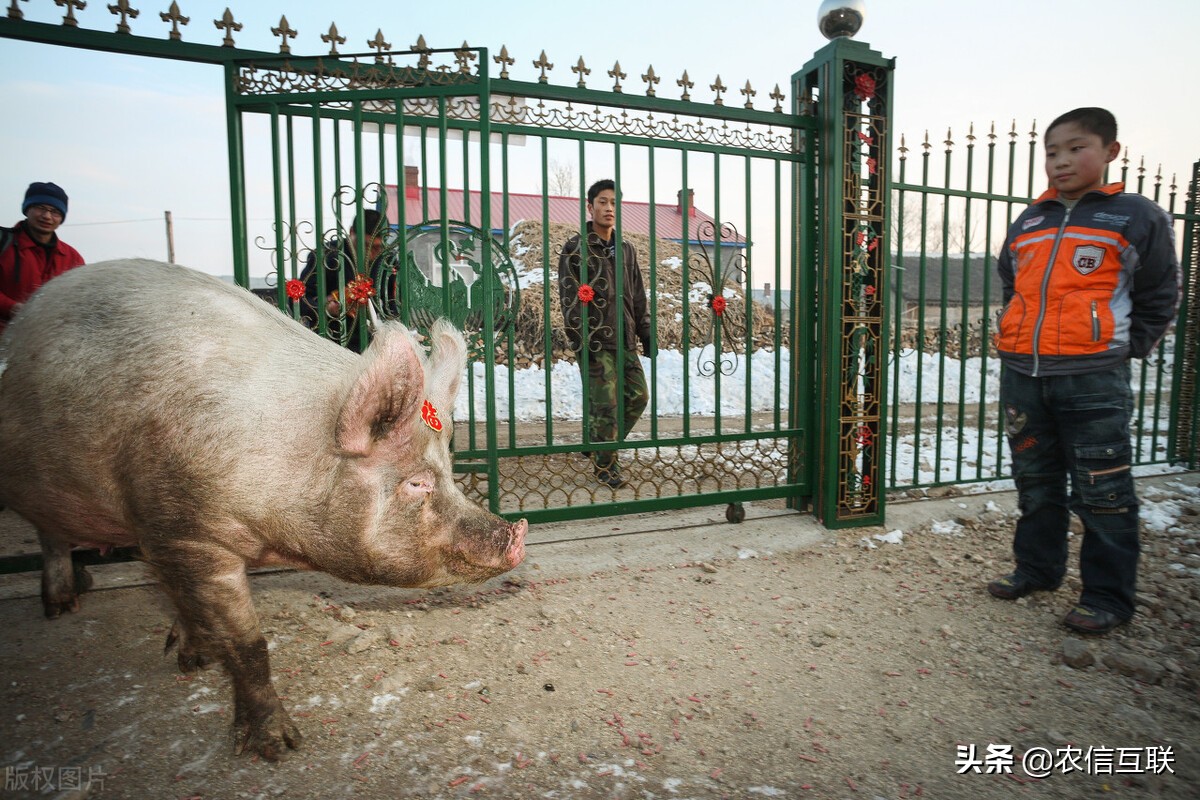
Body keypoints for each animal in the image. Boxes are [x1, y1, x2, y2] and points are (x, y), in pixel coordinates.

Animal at [0, 260, 525, 762]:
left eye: (449, 466)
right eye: (416, 483)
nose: (514, 532)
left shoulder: (165, 534)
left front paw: (195, 661)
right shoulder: (187, 528)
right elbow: (248, 644)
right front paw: (276, 748)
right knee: (50, 536)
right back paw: (60, 606)